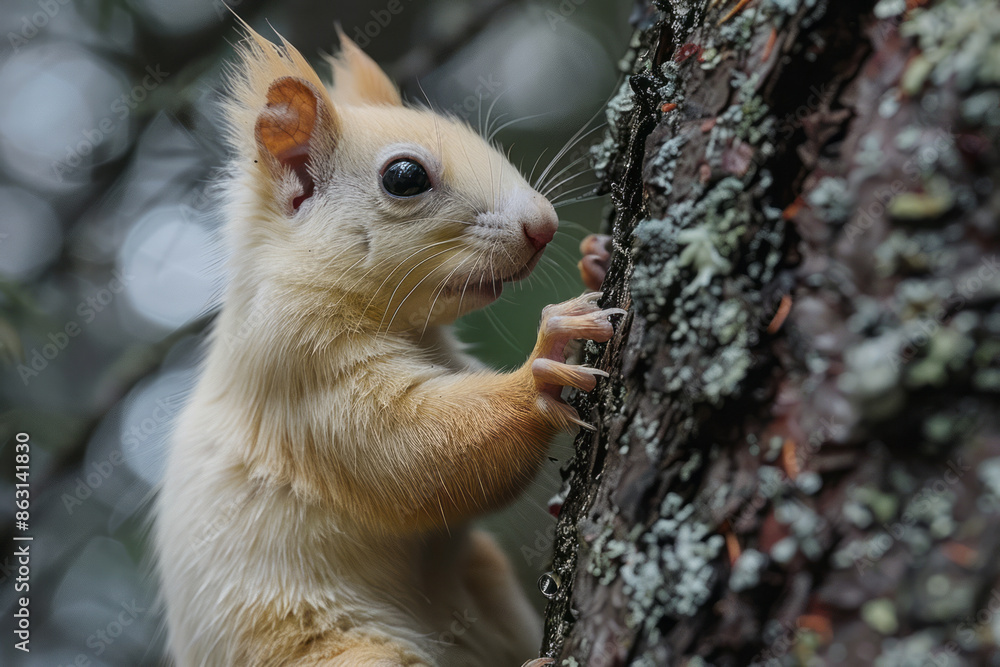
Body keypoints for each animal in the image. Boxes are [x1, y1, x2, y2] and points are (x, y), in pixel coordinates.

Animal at [154, 22, 620, 667]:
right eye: (404, 178)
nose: (544, 226)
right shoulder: (299, 370)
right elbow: (410, 451)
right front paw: (542, 367)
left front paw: (596, 260)